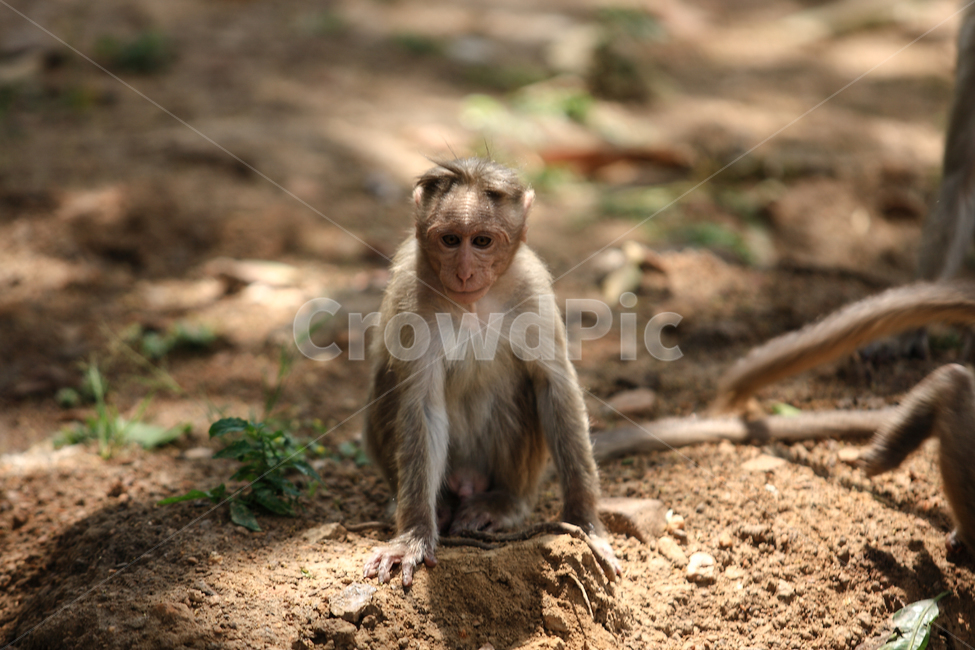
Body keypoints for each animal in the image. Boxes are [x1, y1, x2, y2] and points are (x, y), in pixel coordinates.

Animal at [361, 158, 620, 586]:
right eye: (451, 240)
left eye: (482, 241)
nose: (465, 272)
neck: (473, 304)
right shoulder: (409, 291)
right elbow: (420, 403)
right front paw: (413, 534)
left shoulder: (532, 285)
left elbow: (554, 385)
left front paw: (585, 522)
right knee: (387, 379)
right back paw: (440, 506)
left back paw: (502, 503)